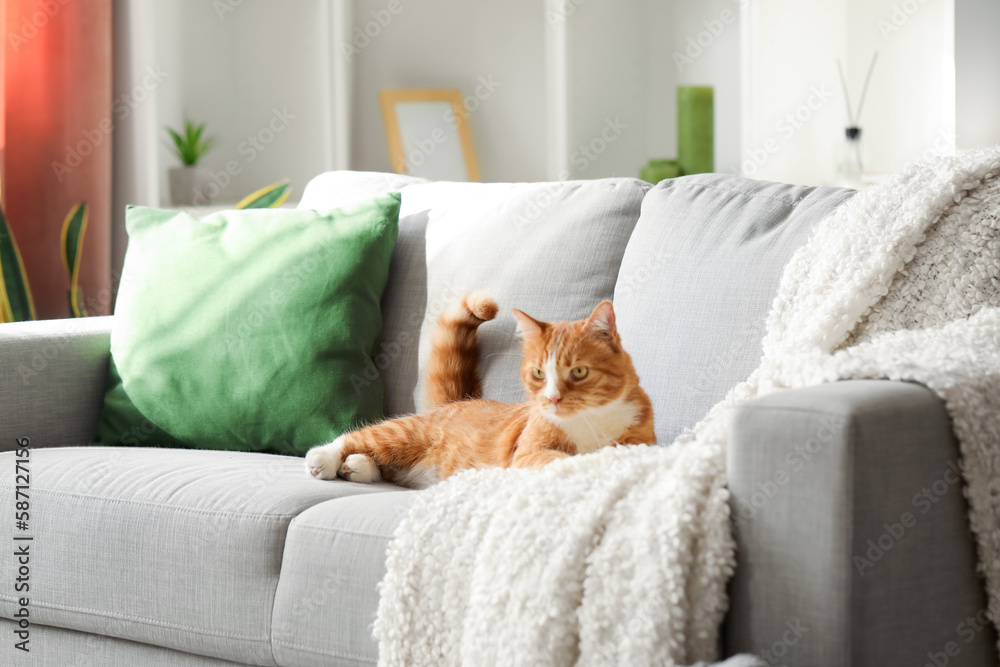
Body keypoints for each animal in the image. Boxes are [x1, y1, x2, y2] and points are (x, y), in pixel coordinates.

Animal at [300, 294, 652, 488]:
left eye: (579, 372)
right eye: (538, 373)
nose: (552, 398)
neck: (588, 421)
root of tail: (461, 400)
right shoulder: (528, 453)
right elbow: (560, 458)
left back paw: (357, 466)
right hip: (406, 433)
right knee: (359, 437)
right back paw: (326, 458)